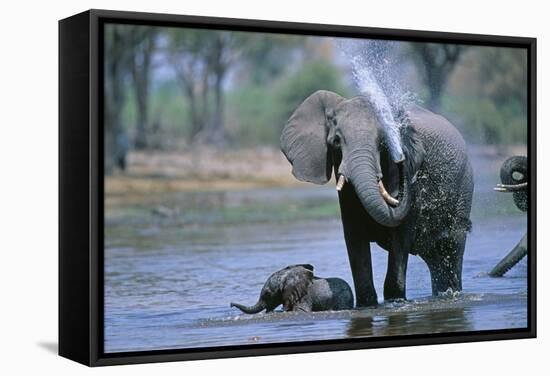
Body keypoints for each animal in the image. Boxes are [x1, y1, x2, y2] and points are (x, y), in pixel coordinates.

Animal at [280, 90, 474, 306]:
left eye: (383, 143)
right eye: (336, 141)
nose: (403, 161)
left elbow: (400, 237)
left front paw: (395, 301)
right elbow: (354, 239)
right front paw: (367, 304)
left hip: (463, 190)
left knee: (451, 249)